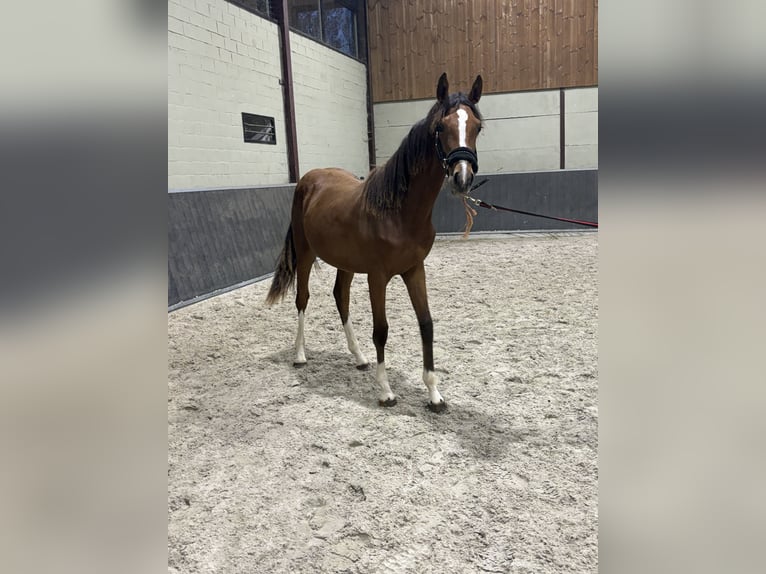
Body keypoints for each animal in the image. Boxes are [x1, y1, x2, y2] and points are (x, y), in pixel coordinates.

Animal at [268, 74, 484, 412]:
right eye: (440, 127)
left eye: (477, 127)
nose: (462, 178)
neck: (399, 211)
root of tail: (309, 179)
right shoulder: (377, 277)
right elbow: (381, 330)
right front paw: (386, 392)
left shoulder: (414, 270)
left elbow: (426, 324)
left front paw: (434, 395)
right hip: (305, 254)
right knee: (302, 298)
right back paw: (300, 355)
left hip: (344, 263)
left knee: (340, 298)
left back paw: (359, 358)